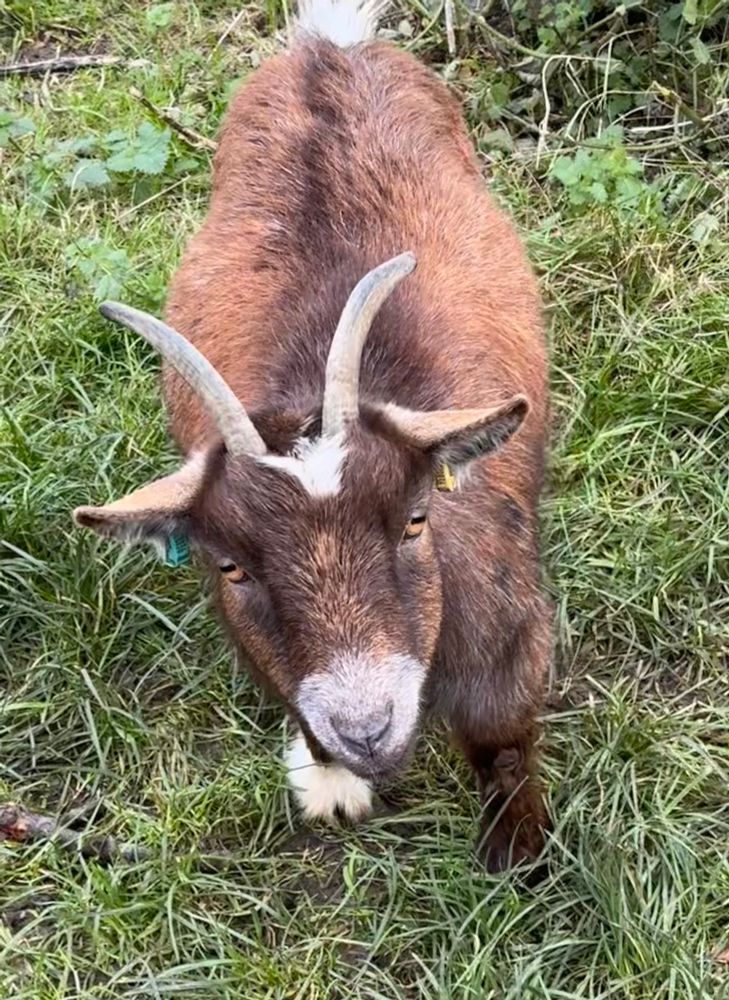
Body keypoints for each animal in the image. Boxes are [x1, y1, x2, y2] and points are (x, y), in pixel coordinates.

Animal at [73, 0, 551, 870]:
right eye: (230, 566)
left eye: (414, 519)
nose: (366, 729)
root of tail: (327, 45)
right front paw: (331, 781)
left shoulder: (509, 638)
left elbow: (501, 738)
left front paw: (518, 859)